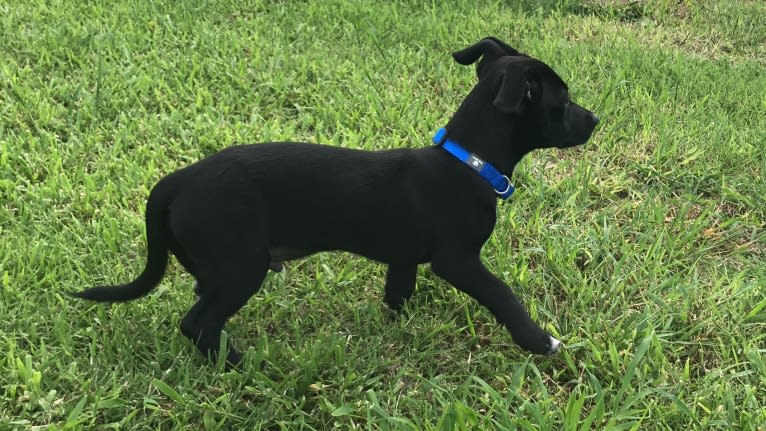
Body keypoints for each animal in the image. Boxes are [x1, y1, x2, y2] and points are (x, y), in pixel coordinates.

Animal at [72, 38, 600, 368]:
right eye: (563, 102)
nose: (595, 119)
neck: (467, 162)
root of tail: (177, 181)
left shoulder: (403, 257)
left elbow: (397, 292)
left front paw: (397, 327)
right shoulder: (457, 261)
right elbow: (502, 294)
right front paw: (539, 340)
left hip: (216, 265)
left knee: (201, 306)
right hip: (241, 266)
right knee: (197, 322)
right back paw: (243, 364)